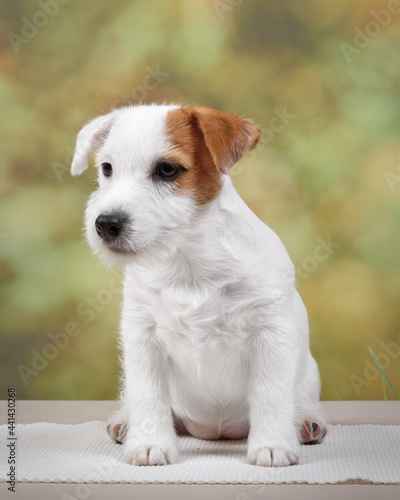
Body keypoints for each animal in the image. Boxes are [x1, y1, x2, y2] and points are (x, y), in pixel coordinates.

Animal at [72, 103, 326, 466]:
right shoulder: (142, 337)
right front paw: (149, 443)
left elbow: (270, 393)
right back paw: (126, 421)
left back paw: (306, 421)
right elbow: (148, 394)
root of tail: (216, 431)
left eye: (167, 169)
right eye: (107, 168)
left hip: (308, 373)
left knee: (301, 399)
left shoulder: (270, 335)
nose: (106, 223)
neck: (188, 262)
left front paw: (273, 445)